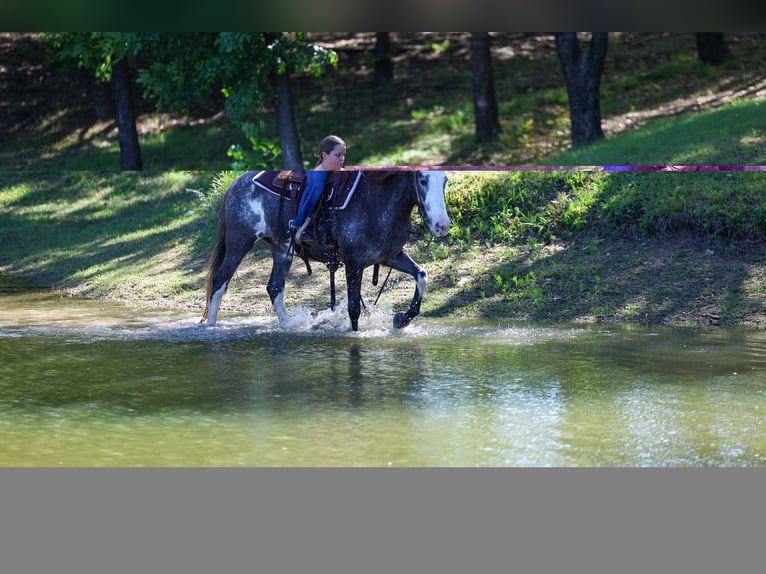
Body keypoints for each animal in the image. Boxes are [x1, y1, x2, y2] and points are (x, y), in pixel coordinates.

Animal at [201, 169, 451, 331]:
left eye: (445, 180)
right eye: (422, 180)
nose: (442, 225)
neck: (376, 200)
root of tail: (237, 183)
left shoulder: (389, 256)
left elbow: (421, 275)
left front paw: (402, 319)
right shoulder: (354, 263)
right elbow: (353, 308)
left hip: (281, 250)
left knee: (274, 287)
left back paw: (289, 325)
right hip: (239, 242)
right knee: (220, 279)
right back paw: (210, 326)